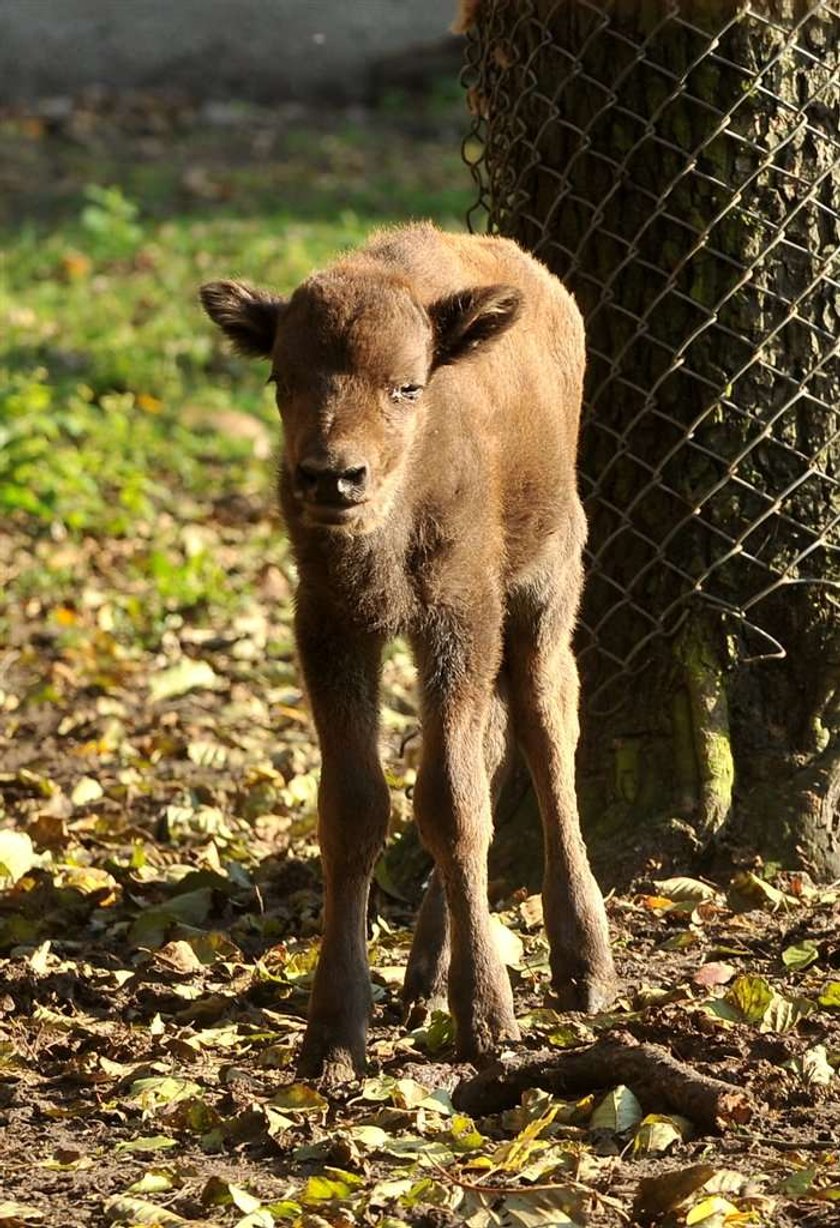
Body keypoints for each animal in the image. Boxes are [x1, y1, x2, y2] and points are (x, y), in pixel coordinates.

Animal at [200, 225, 614, 1080]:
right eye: (282, 377)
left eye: (408, 386)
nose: (332, 477)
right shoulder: (334, 627)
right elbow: (355, 807)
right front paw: (333, 1034)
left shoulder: (459, 620)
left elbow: (451, 805)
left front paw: (488, 1022)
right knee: (498, 745)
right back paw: (424, 975)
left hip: (544, 593)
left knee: (547, 732)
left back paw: (584, 965)